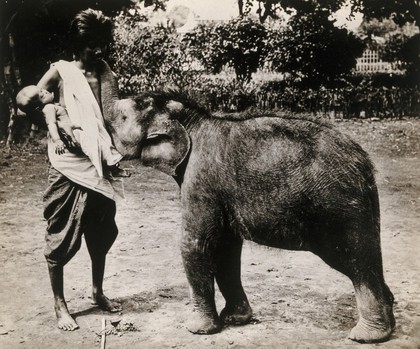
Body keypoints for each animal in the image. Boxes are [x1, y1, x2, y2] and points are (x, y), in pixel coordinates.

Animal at [104, 89, 394, 342]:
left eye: (122, 119)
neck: (193, 120)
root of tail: (364, 162)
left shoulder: (200, 178)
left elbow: (196, 244)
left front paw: (197, 330)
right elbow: (226, 248)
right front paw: (236, 320)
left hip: (338, 208)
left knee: (355, 260)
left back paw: (367, 336)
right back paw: (388, 323)